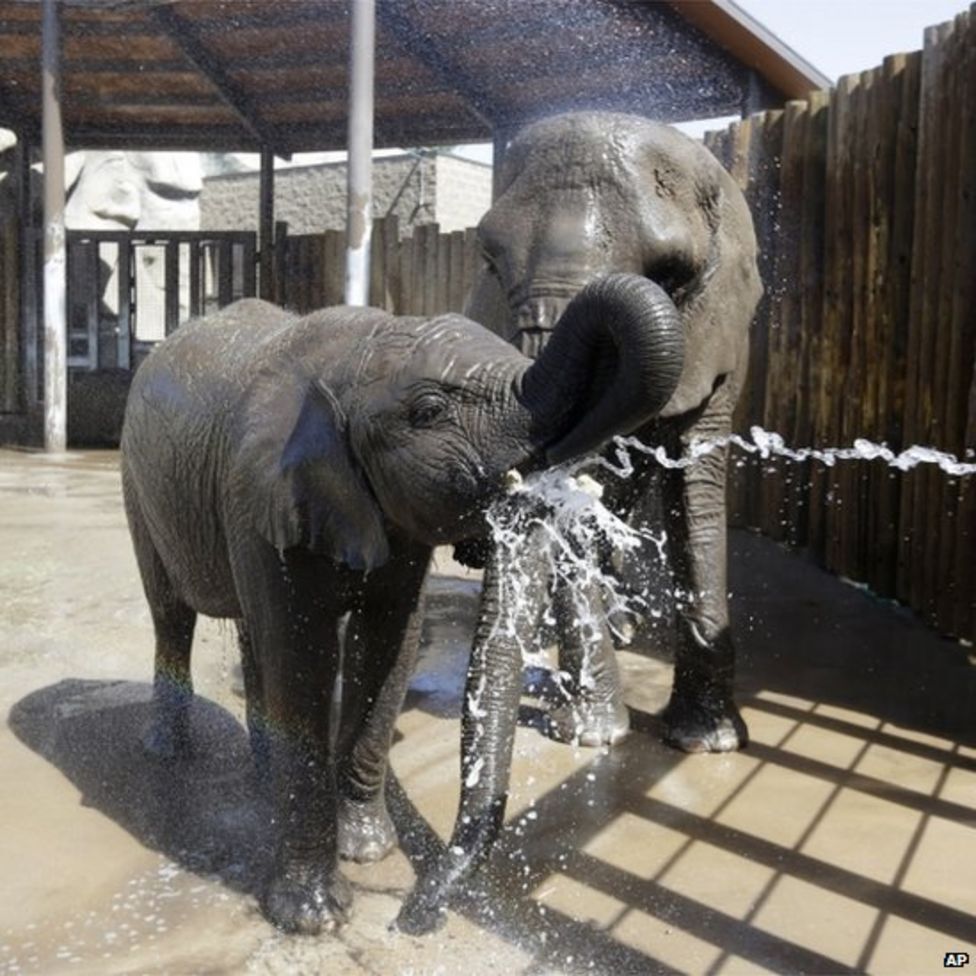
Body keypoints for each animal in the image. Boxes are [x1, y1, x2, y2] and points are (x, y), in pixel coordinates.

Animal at [122, 278, 684, 936]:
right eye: (429, 412)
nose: (413, 919)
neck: (356, 356)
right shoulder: (260, 488)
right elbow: (302, 654)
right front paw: (313, 918)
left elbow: (390, 644)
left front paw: (368, 851)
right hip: (137, 485)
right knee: (172, 615)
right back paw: (167, 752)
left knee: (250, 635)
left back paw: (262, 774)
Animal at [396, 112, 764, 932]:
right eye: (489, 258)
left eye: (673, 272)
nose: (415, 916)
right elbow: (576, 513)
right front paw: (599, 735)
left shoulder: (721, 341)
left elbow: (695, 491)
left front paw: (708, 745)